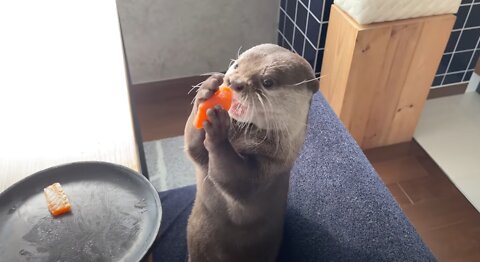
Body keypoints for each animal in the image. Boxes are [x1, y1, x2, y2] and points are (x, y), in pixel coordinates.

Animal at [184, 44, 318, 260]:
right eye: (237, 65)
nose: (233, 82)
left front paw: (218, 128)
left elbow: (234, 179)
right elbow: (193, 146)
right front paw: (205, 91)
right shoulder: (201, 159)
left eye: (268, 82)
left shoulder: (267, 173)